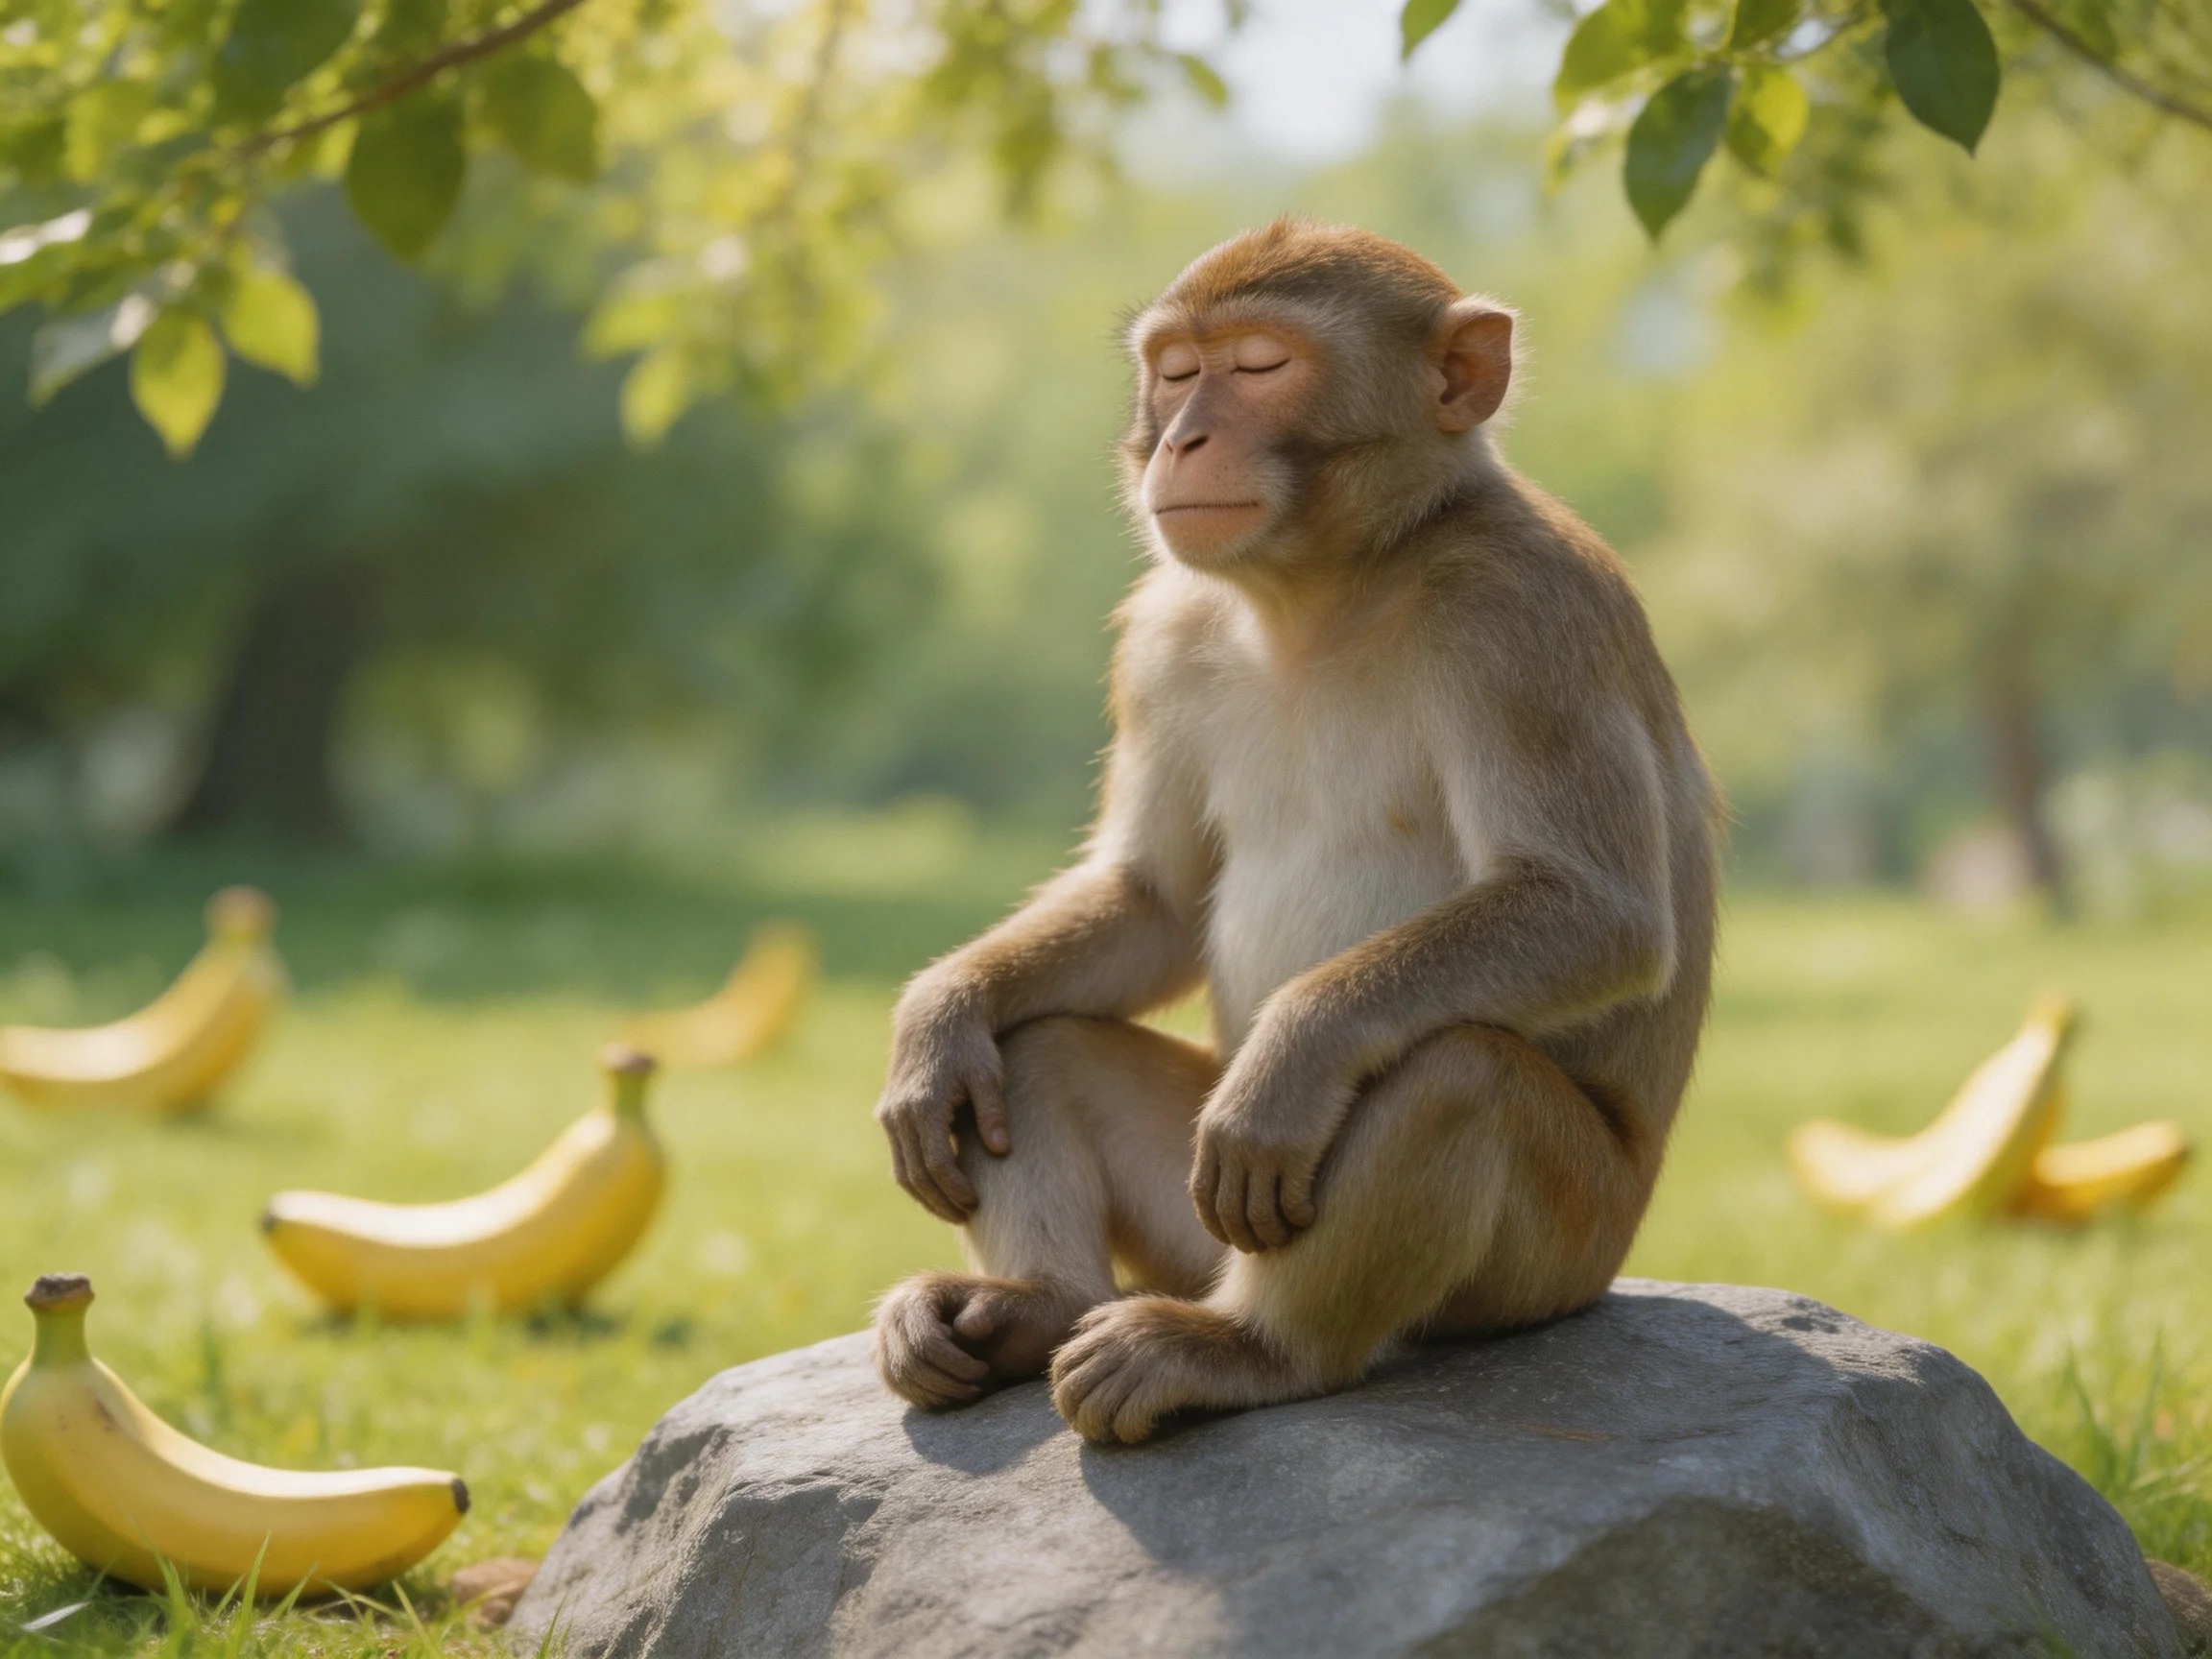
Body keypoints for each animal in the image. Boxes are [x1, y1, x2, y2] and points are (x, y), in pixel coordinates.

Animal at [870, 219, 1720, 1444]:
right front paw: (938, 1016)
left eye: (1262, 365)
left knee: (1455, 1071)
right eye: (1177, 370)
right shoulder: (1163, 632)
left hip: (1560, 1250)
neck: (1326, 590)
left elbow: (1591, 907)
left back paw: (1251, 1350)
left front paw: (1295, 1053)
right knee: (1036, 1048)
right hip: (1191, 1231)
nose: (1185, 436)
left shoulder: (1521, 609)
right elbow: (1155, 901)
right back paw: (1035, 1306)